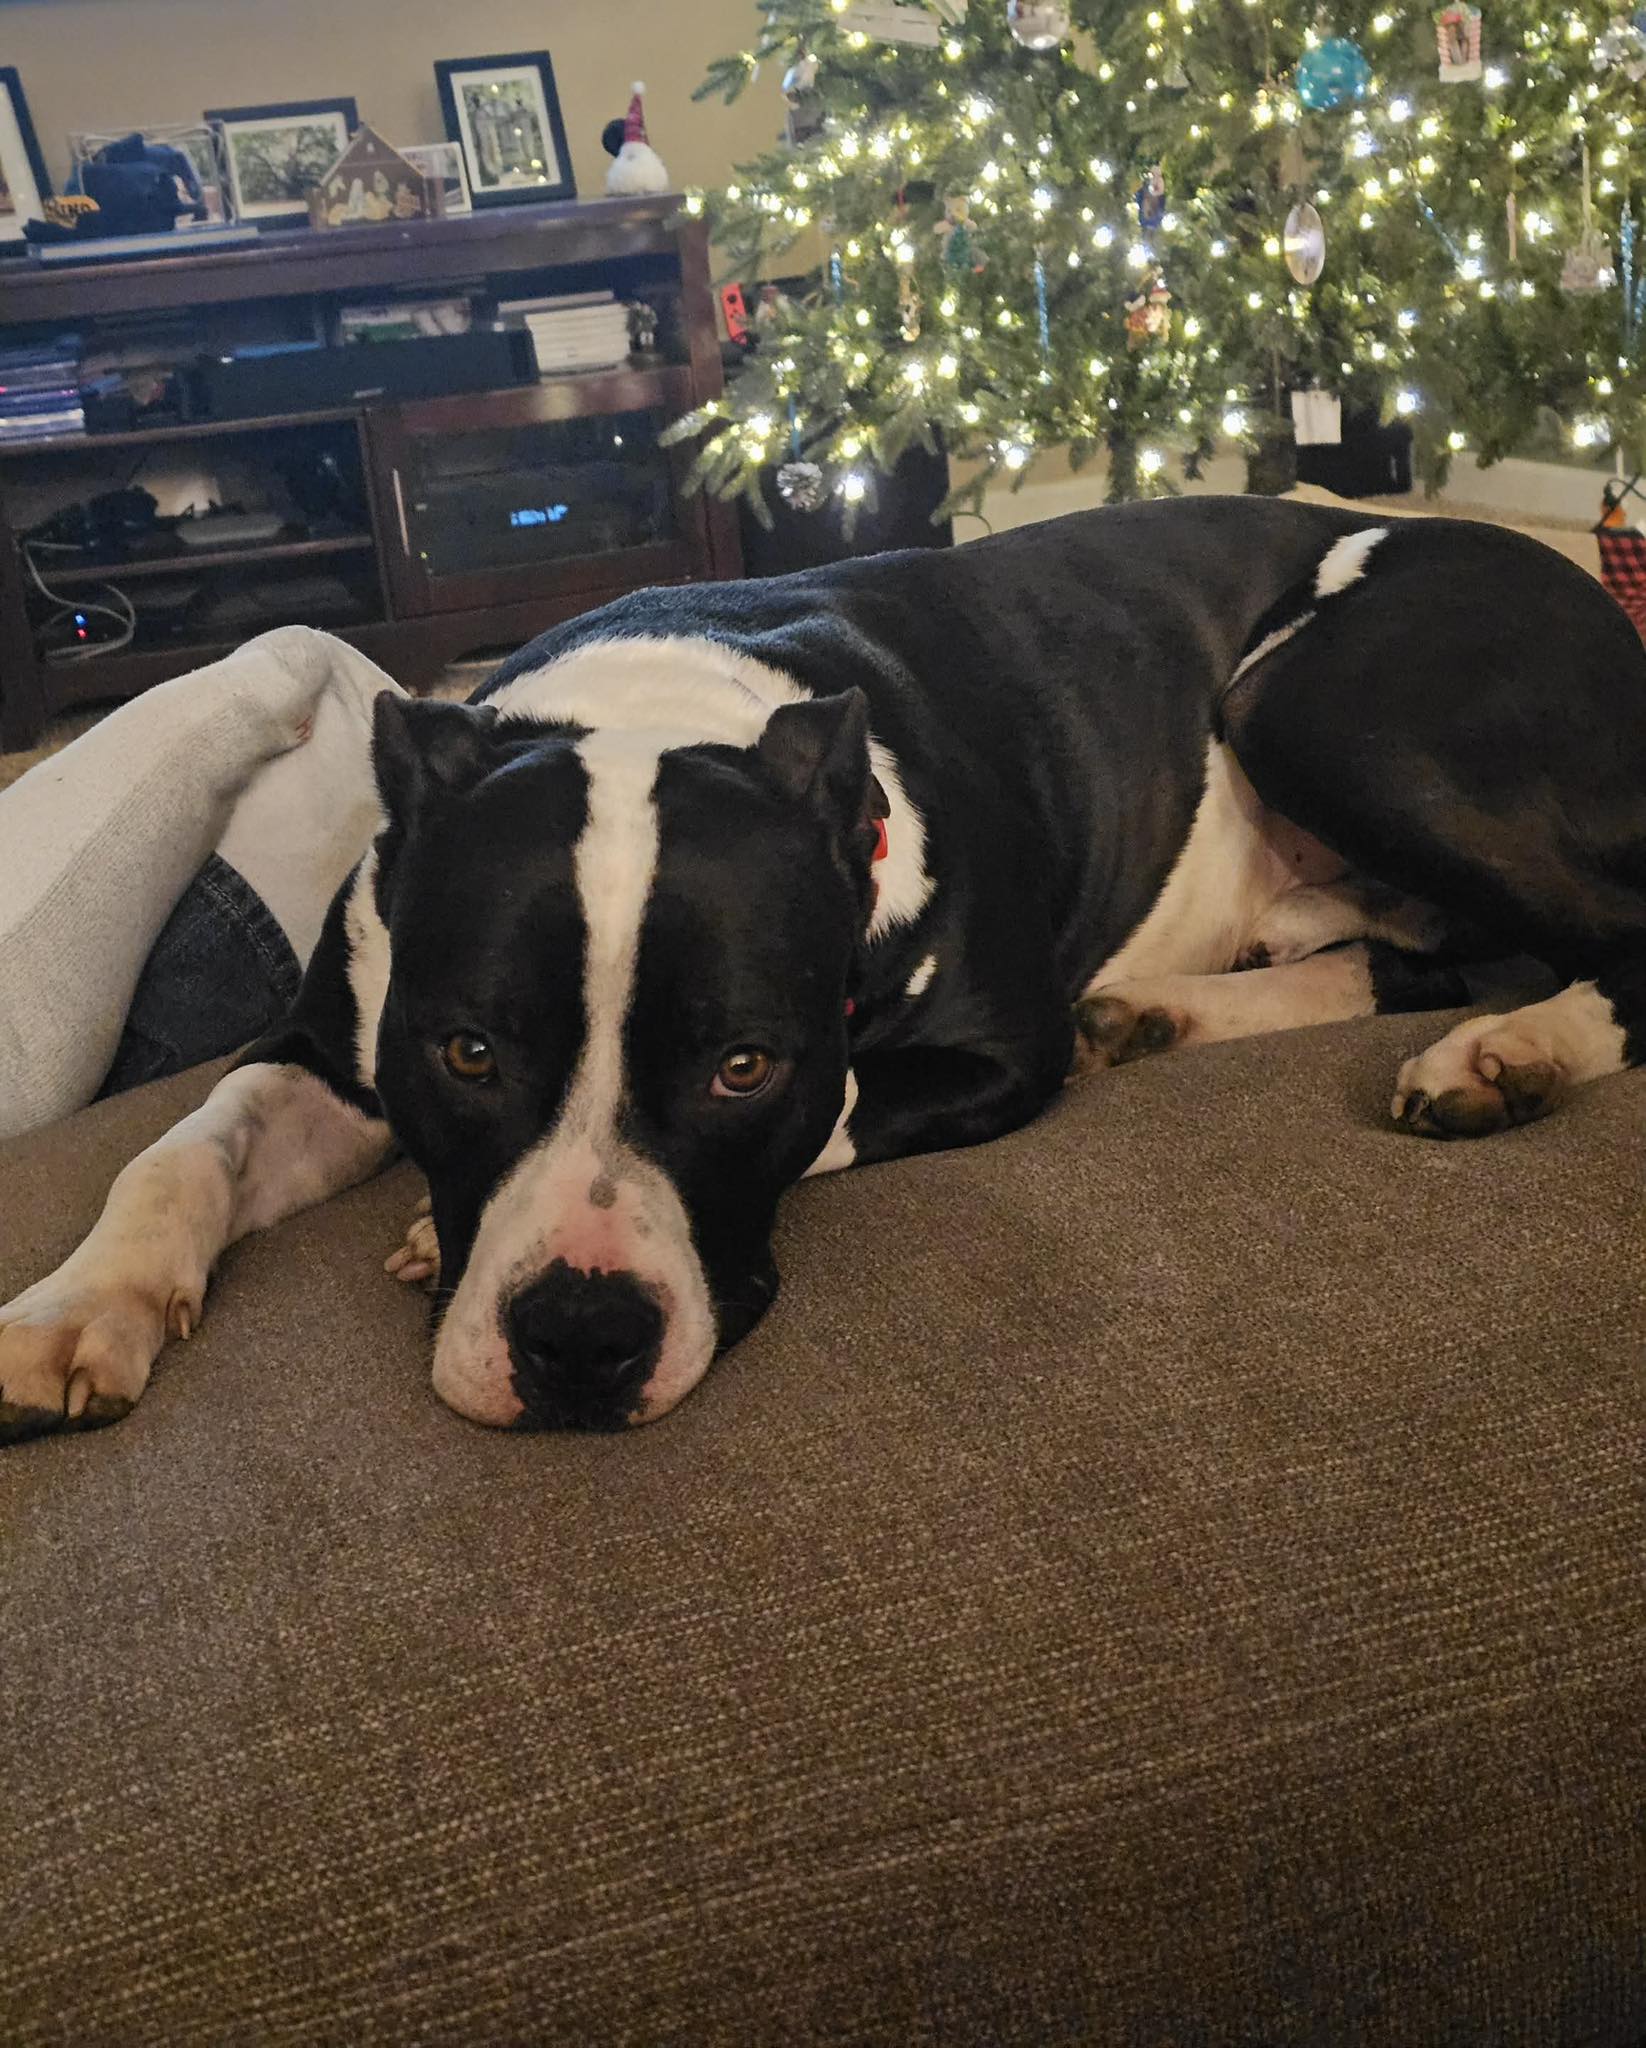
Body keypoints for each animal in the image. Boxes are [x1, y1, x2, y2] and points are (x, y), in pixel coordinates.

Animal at [4, 497, 1644, 1442]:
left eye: (744, 1065)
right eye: (468, 1053)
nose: (578, 1342)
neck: (661, 700)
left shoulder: (996, 1055)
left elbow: (850, 1100)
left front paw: (419, 1229)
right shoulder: (334, 1042)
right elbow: (182, 1148)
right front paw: (82, 1306)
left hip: (1320, 700)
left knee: (1589, 936)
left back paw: (1510, 1053)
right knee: (1413, 952)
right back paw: (1177, 1003)